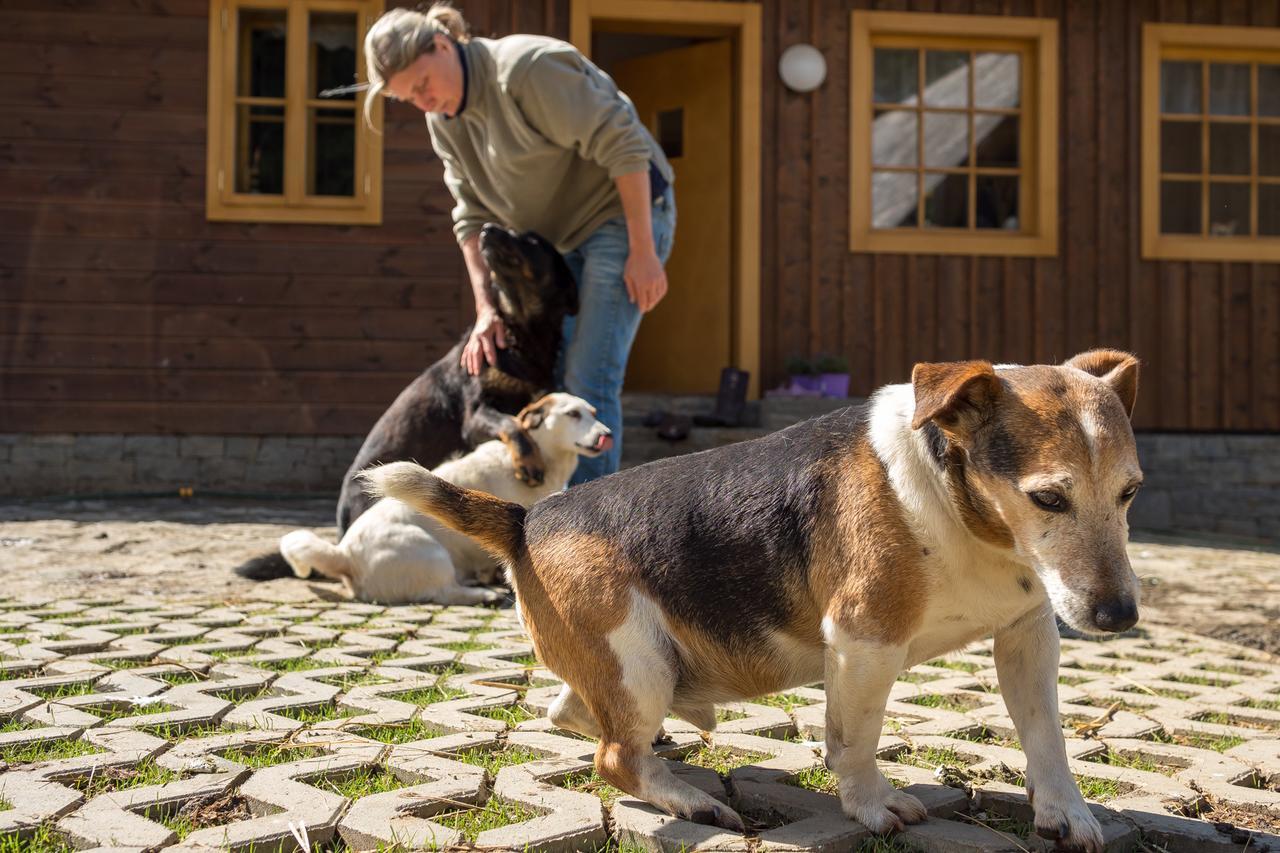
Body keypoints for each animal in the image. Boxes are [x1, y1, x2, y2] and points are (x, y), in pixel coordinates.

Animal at [236, 222, 581, 578]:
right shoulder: (475, 414)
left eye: (532, 240)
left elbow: (517, 422)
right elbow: (512, 425)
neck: (523, 334)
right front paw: (529, 461)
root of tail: (341, 533)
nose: (486, 229)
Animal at [279, 394, 614, 604]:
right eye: (572, 414)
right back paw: (482, 595)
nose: (607, 434)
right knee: (442, 593)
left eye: (594, 414)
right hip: (431, 552)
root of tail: (344, 554)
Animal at [366, 348, 1146, 845]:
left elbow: (1047, 739)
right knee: (613, 758)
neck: (959, 509)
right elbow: (855, 742)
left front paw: (1068, 814)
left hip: (630, 665)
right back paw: (691, 799)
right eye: (1048, 498)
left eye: (1130, 492)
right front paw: (873, 807)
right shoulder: (864, 640)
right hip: (639, 659)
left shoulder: (1028, 634)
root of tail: (528, 519)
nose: (1120, 616)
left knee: (573, 714)